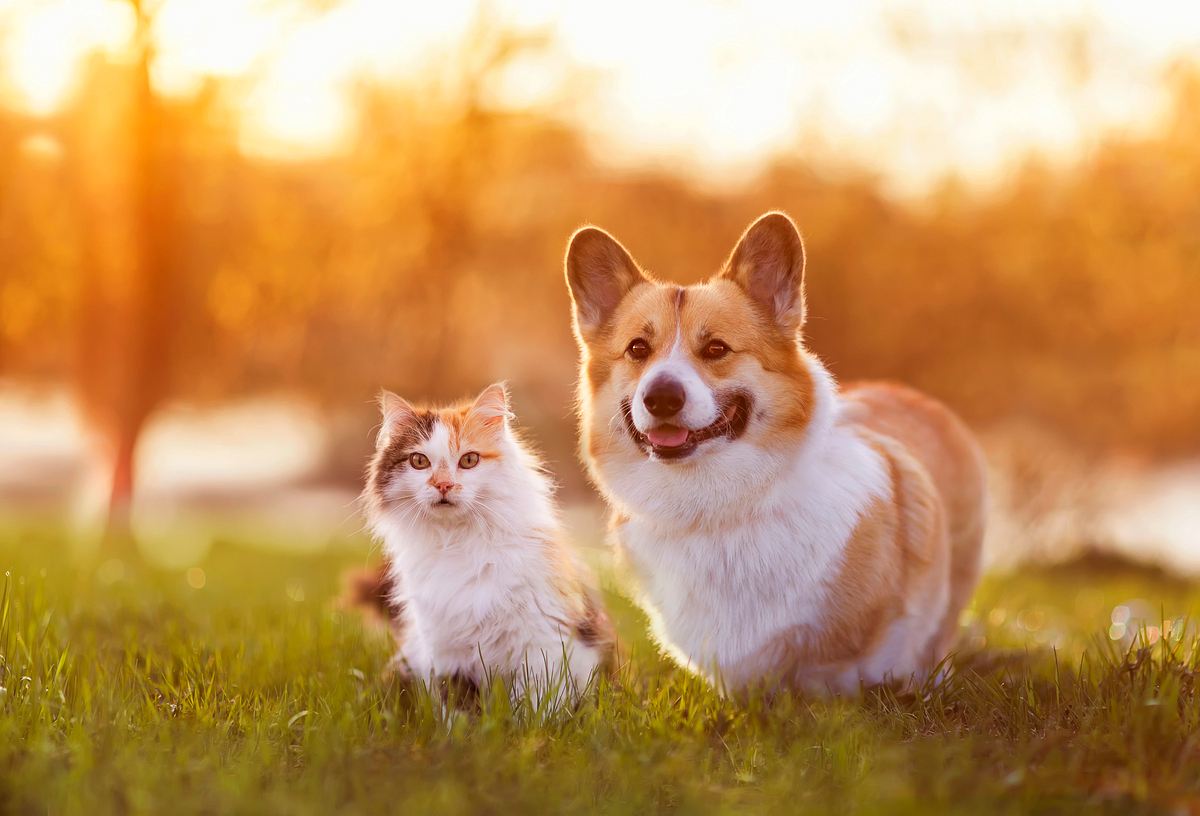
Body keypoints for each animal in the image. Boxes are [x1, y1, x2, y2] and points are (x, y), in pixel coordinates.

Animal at [348, 381, 609, 705]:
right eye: (419, 461)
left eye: (469, 460)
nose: (443, 485)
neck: (457, 541)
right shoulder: (444, 649)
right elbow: (453, 703)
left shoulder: (543, 638)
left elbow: (536, 702)